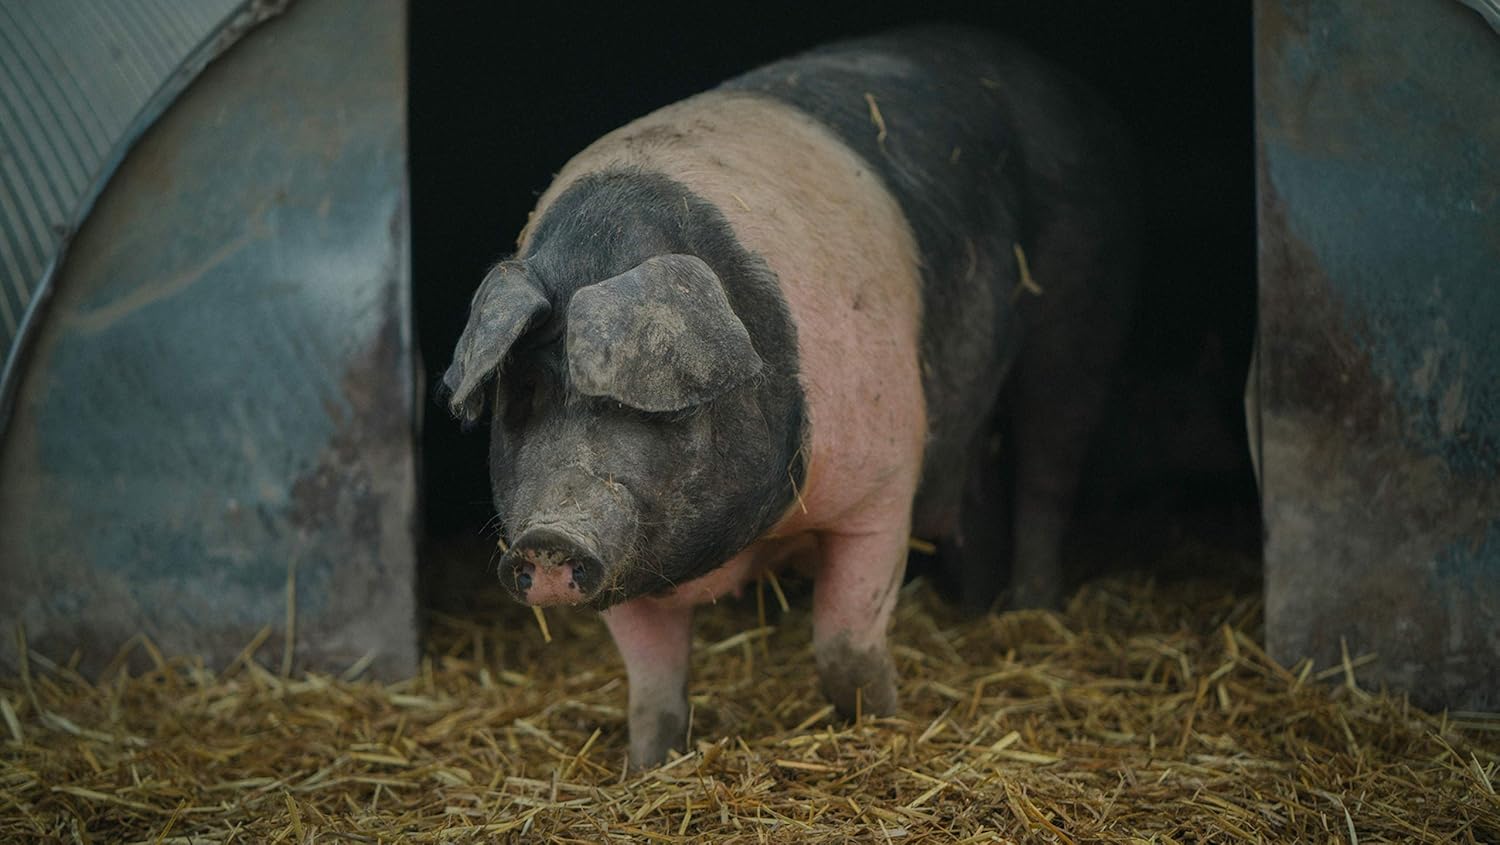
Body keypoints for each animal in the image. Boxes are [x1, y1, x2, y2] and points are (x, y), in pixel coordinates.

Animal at [442, 26, 1138, 768]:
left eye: (648, 406)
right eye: (524, 394)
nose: (546, 538)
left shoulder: (881, 481)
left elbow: (845, 642)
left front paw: (878, 724)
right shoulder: (625, 564)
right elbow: (652, 685)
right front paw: (648, 767)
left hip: (1081, 306)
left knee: (1048, 465)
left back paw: (1029, 608)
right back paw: (977, 607)